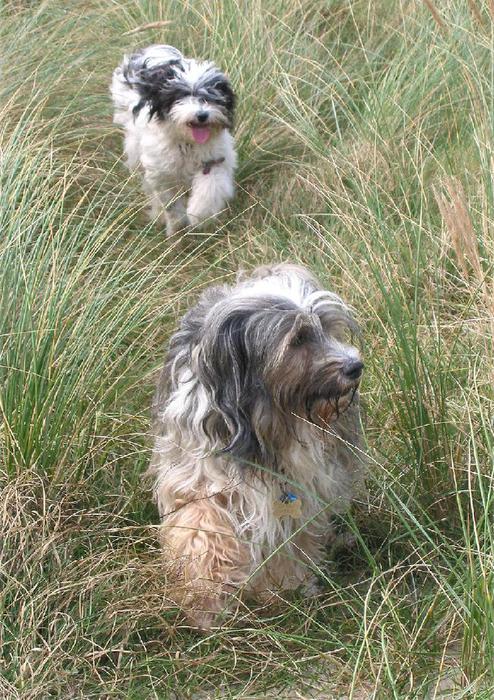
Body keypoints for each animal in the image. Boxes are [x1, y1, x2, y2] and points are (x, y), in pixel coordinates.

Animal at [110, 44, 237, 237]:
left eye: (211, 97)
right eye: (181, 96)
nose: (202, 115)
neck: (187, 143)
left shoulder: (214, 162)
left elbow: (209, 189)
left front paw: (198, 215)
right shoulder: (161, 173)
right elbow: (170, 204)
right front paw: (175, 226)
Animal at [149, 264, 365, 628]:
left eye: (328, 327)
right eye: (298, 339)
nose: (355, 366)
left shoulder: (302, 481)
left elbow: (289, 533)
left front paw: (286, 587)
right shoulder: (196, 472)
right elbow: (202, 528)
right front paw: (204, 599)